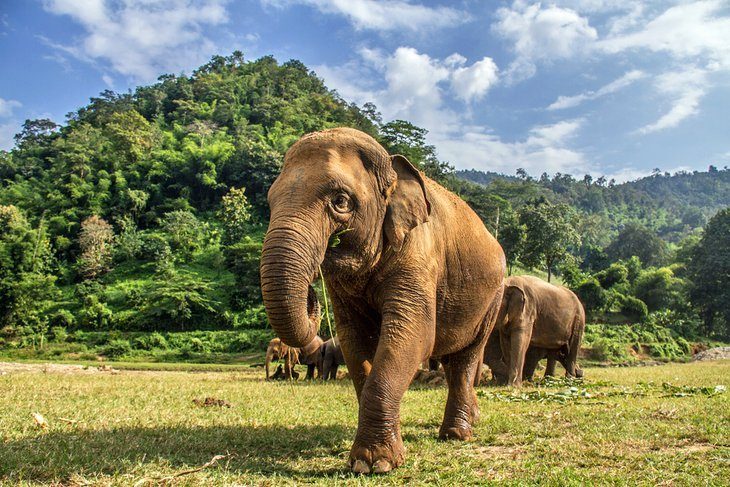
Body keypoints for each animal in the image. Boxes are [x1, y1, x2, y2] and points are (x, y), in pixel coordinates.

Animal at [260, 128, 505, 473]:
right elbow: (354, 340)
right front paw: (370, 459)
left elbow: (413, 335)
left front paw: (374, 464)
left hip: (493, 298)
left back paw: (456, 434)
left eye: (340, 201)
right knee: (450, 356)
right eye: (270, 201)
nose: (311, 292)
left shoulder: (419, 254)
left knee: (465, 358)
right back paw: (471, 419)